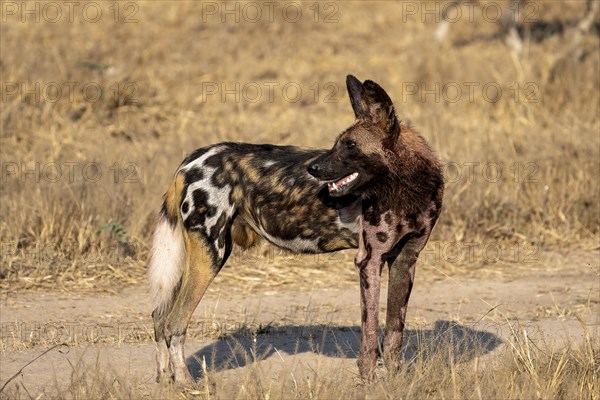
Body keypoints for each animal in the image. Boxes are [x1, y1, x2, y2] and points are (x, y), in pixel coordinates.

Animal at [148, 75, 442, 384]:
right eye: (337, 144)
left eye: (350, 145)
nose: (313, 168)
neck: (408, 188)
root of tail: (189, 160)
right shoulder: (370, 261)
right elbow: (371, 333)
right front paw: (370, 381)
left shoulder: (405, 260)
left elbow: (395, 330)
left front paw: (397, 381)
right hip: (209, 256)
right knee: (174, 323)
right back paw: (184, 383)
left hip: (204, 256)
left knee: (159, 316)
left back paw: (164, 379)